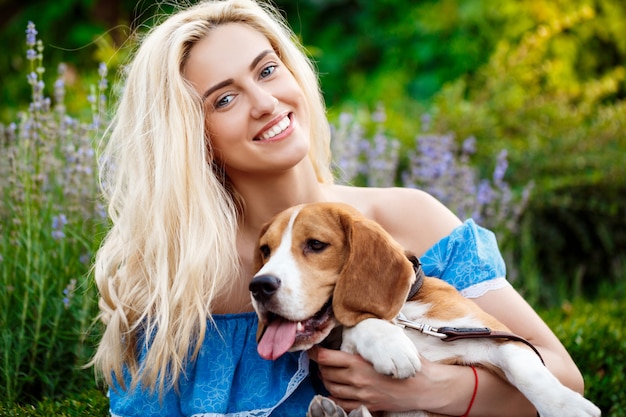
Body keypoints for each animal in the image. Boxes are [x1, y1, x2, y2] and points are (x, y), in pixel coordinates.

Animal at [249, 202, 600, 416]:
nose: (259, 286)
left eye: (315, 245)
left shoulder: (493, 334)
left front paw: (568, 407)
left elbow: (527, 368)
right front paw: (389, 344)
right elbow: (360, 323)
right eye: (266, 250)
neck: (406, 317)